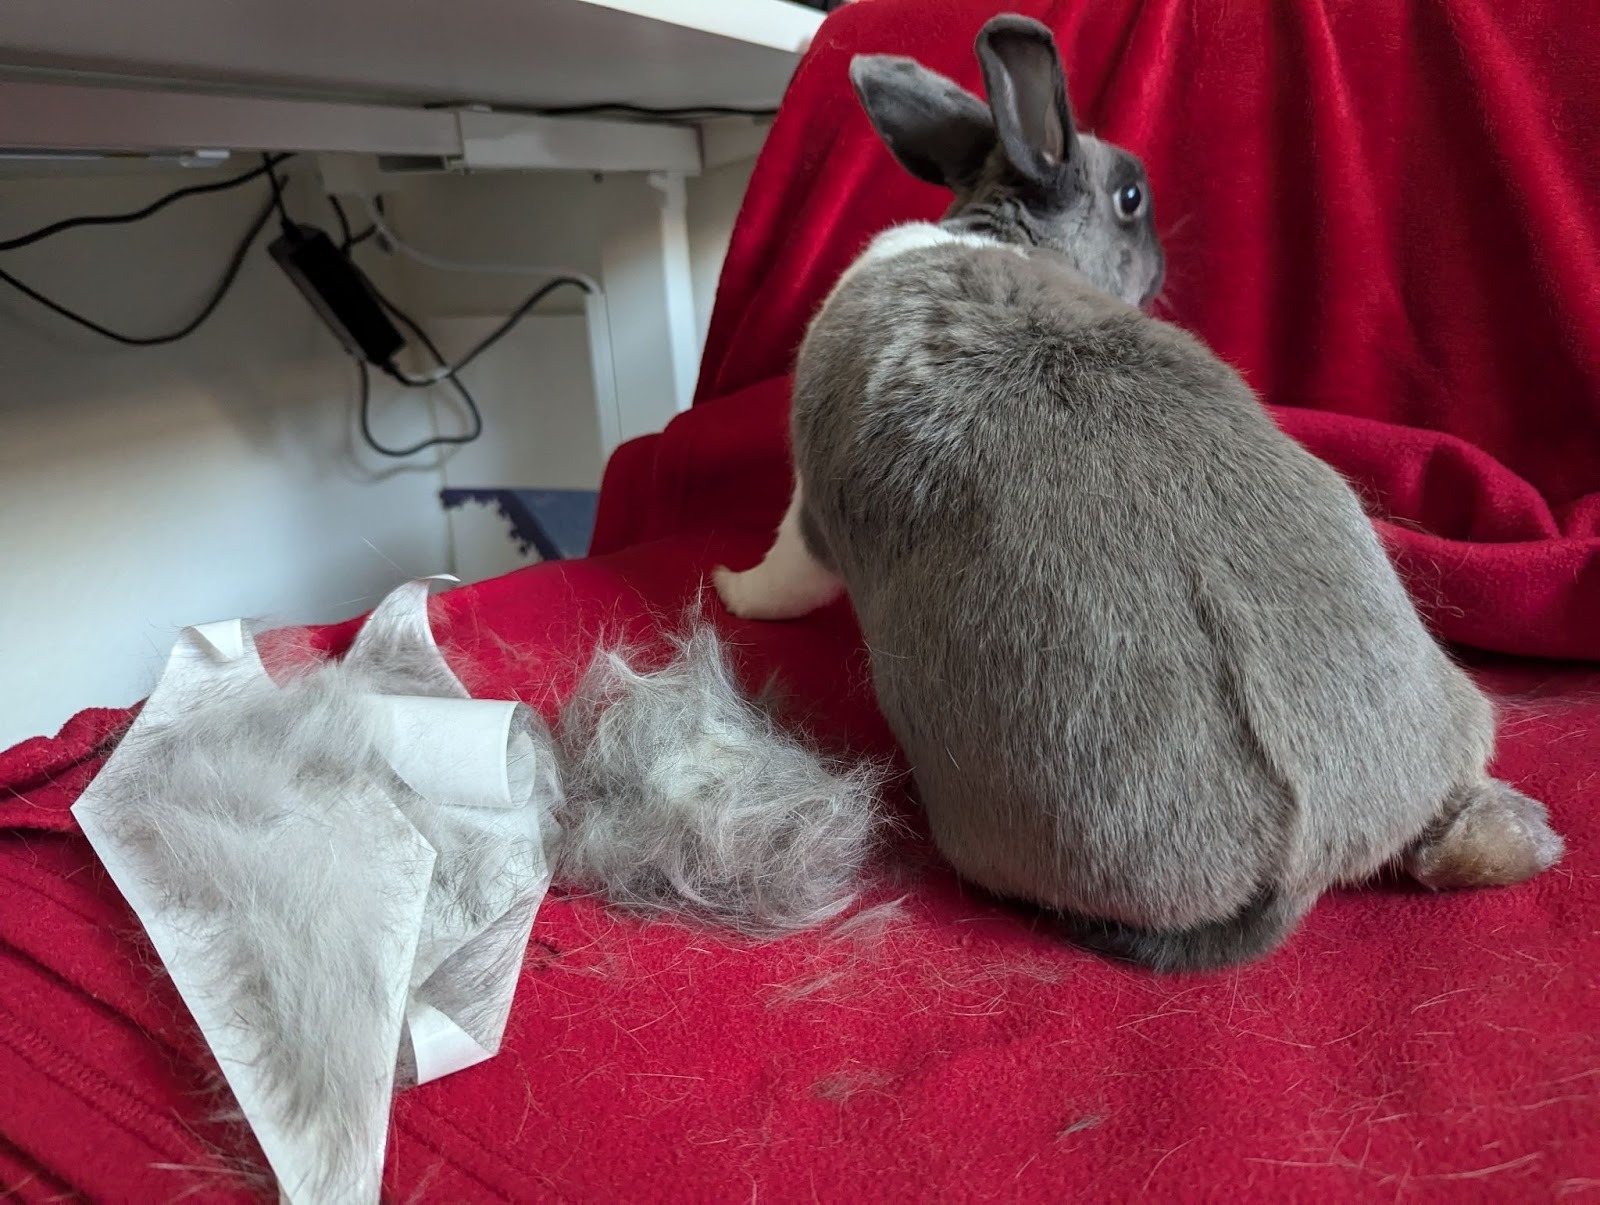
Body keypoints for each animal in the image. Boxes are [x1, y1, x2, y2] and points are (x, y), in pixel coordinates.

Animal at [714, 14, 1565, 972]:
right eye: (1130, 198)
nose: (1160, 265)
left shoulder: (807, 516)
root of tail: (1321, 845)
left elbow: (783, 574)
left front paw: (729, 592)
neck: (1006, 234)